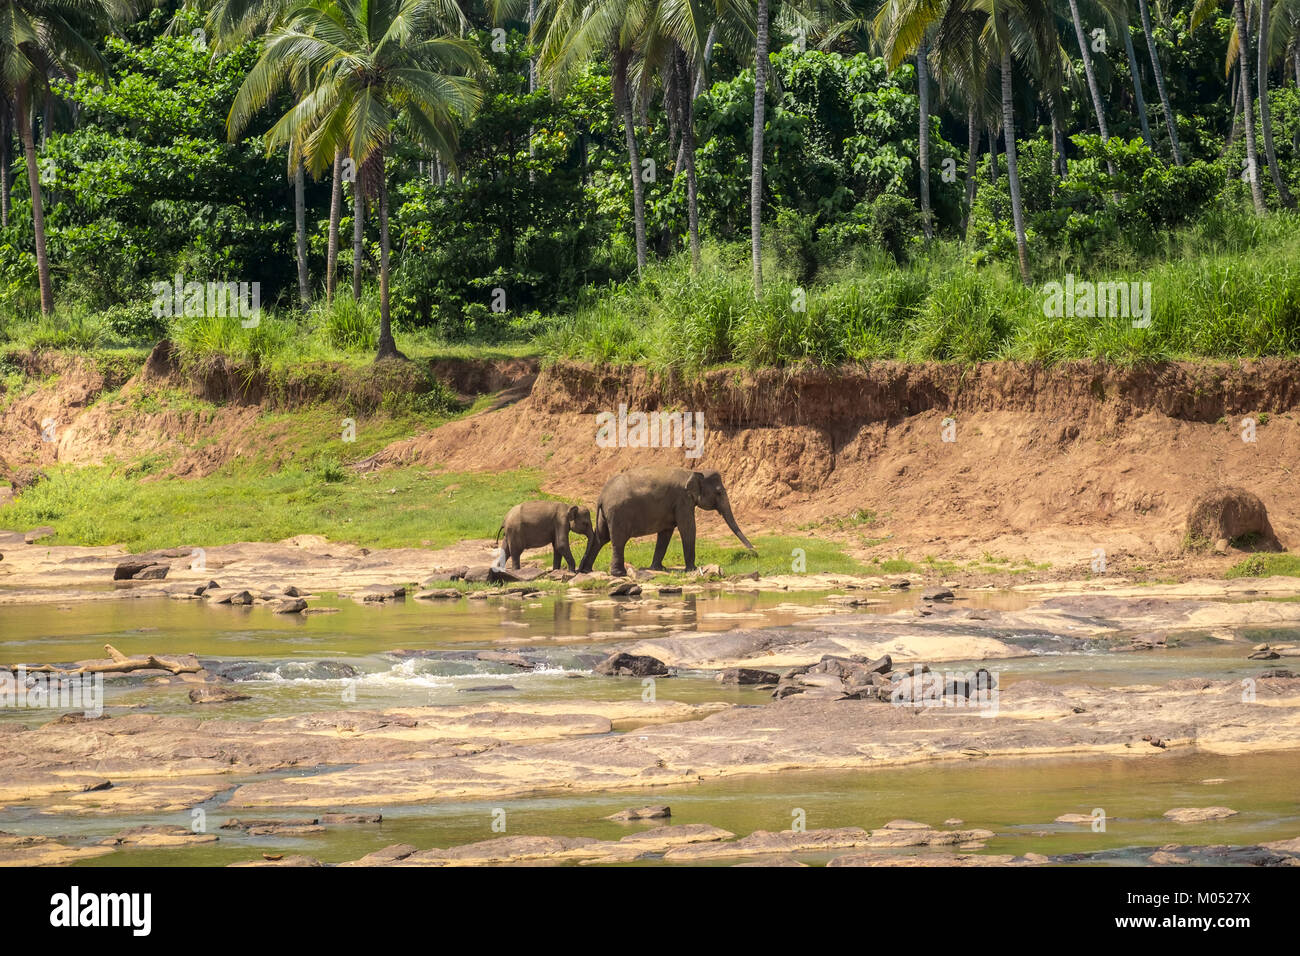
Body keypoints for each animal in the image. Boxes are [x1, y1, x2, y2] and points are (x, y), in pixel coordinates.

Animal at [577, 465, 754, 574]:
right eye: (718, 492)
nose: (755, 552)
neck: (694, 472)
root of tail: (601, 496)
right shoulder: (683, 500)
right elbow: (688, 528)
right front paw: (692, 569)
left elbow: (666, 532)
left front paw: (658, 568)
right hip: (618, 514)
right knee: (618, 541)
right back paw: (619, 574)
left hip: (605, 515)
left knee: (601, 538)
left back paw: (587, 571)